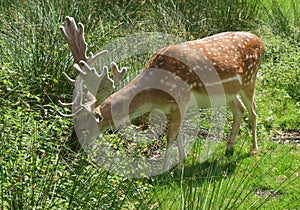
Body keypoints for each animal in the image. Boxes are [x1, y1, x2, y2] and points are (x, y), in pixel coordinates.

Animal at [59, 16, 264, 171]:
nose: (71, 147)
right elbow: (177, 134)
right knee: (239, 109)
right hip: (228, 93)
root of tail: (260, 41)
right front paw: (181, 162)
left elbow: (169, 137)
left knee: (253, 110)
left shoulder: (180, 100)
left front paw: (165, 170)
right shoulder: (171, 108)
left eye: (84, 127)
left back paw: (254, 150)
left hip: (250, 79)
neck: (155, 95)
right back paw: (229, 148)